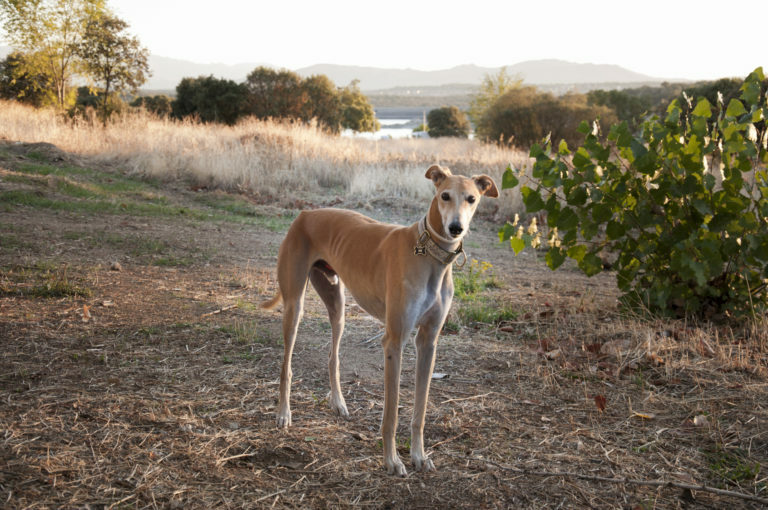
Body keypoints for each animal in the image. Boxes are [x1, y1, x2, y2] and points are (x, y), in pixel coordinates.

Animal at [260, 165, 498, 476]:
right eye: (444, 195)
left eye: (472, 198)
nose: (455, 228)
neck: (428, 253)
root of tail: (306, 213)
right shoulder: (394, 341)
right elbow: (391, 413)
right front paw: (392, 460)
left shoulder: (428, 342)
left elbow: (420, 411)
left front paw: (419, 456)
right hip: (294, 304)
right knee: (286, 365)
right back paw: (283, 413)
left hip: (337, 304)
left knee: (333, 357)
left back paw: (338, 403)